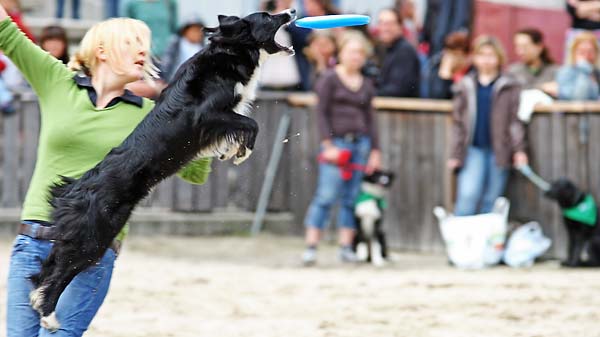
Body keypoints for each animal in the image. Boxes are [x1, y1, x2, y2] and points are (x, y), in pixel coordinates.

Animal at [30, 9, 298, 330]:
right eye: (268, 17)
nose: (292, 11)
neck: (229, 52)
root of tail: (75, 189)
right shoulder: (206, 114)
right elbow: (250, 123)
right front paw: (241, 153)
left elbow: (240, 126)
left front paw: (231, 151)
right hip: (93, 236)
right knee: (59, 273)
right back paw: (49, 315)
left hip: (88, 236)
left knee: (48, 268)